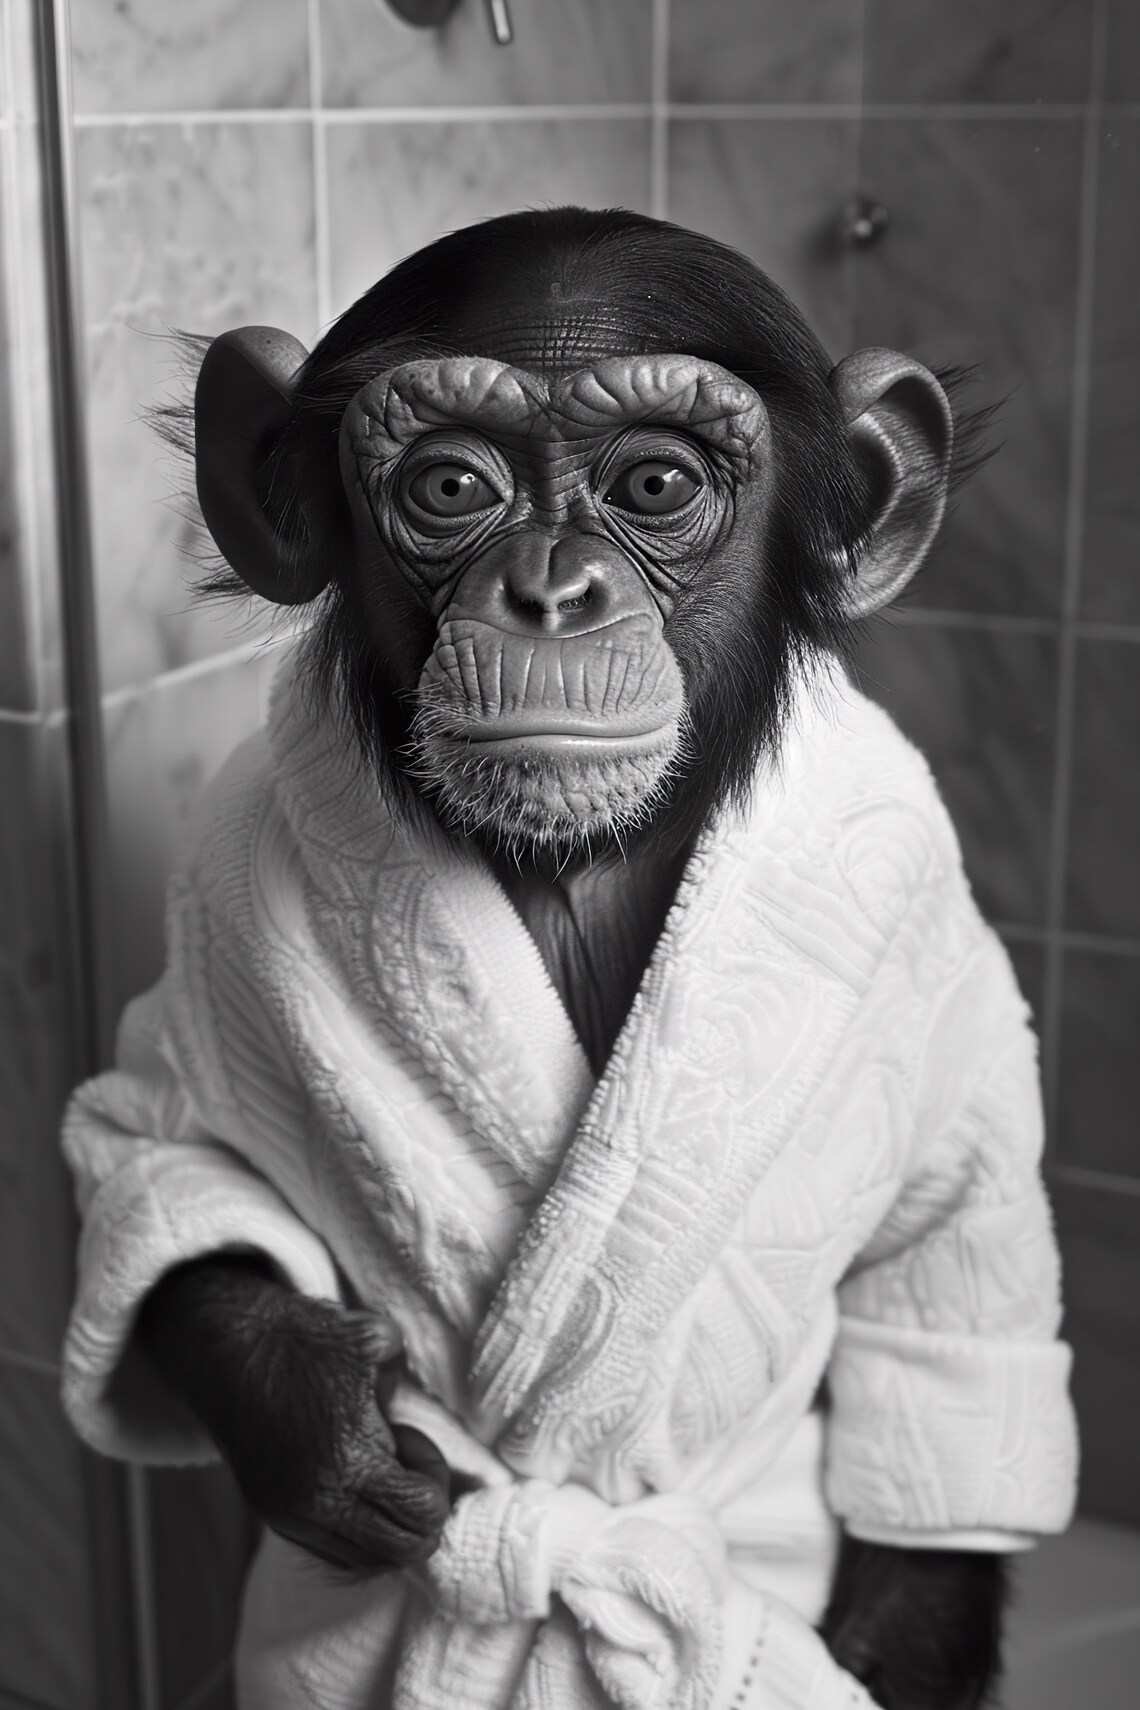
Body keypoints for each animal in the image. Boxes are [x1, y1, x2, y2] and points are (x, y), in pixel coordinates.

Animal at [63, 207, 1076, 1710]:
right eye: (448, 486)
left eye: (655, 482)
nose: (551, 591)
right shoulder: (221, 879)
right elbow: (159, 1156)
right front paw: (311, 1417)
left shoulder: (923, 910)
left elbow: (944, 1265)